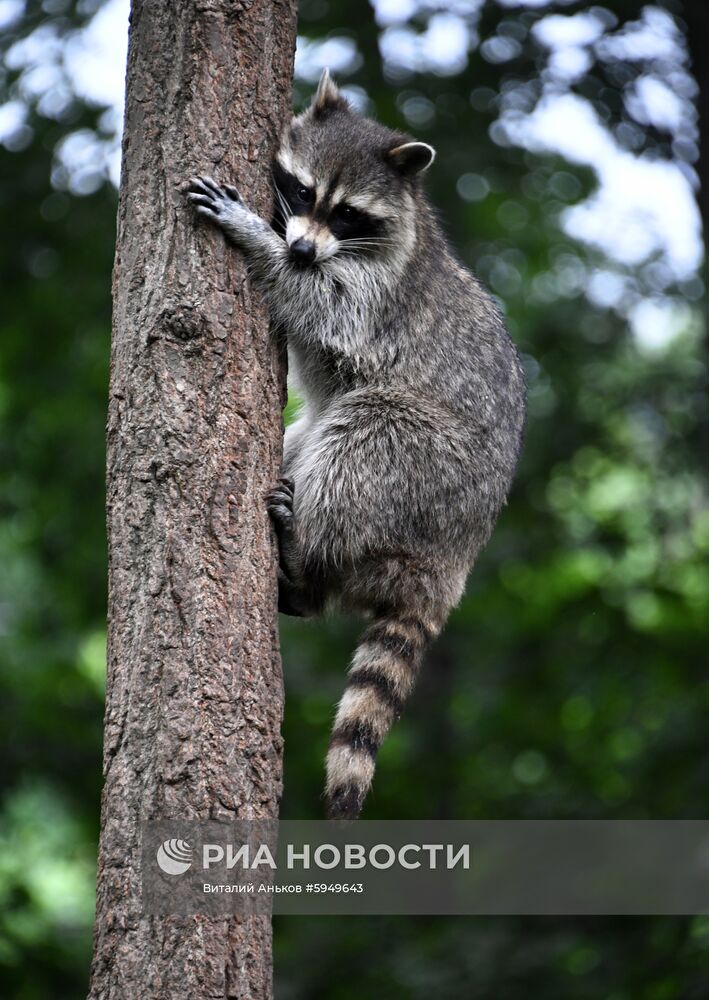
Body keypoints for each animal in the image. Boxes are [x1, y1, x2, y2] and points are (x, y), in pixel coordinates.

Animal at [187, 72, 524, 820]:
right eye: (304, 192)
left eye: (347, 216)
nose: (302, 250)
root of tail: (448, 568)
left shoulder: (374, 299)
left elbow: (324, 307)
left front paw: (256, 239)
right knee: (305, 432)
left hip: (428, 476)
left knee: (369, 425)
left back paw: (306, 548)